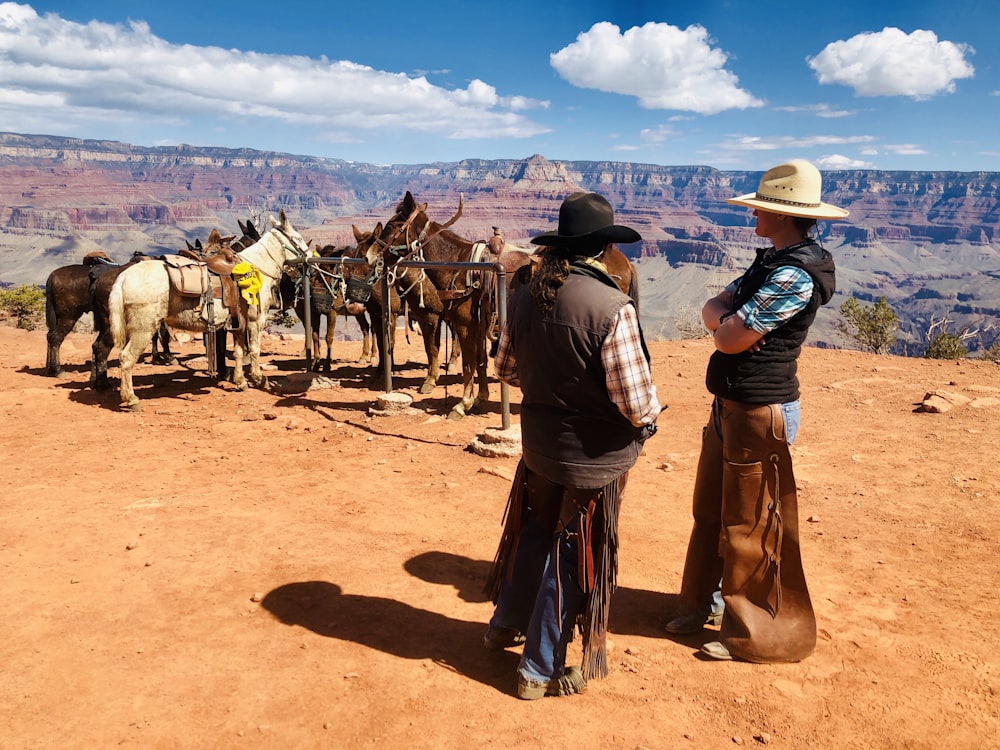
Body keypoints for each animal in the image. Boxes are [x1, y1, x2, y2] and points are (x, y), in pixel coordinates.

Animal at [109, 210, 308, 412]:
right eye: (298, 238)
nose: (306, 258)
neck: (256, 268)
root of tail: (124, 277)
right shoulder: (255, 320)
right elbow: (254, 349)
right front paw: (259, 379)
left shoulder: (238, 322)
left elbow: (238, 351)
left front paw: (240, 381)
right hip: (143, 329)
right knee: (126, 358)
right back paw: (131, 399)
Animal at [348, 191, 496, 420]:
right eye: (354, 255)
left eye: (392, 225)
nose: (369, 256)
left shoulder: (433, 318)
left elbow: (437, 351)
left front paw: (439, 388)